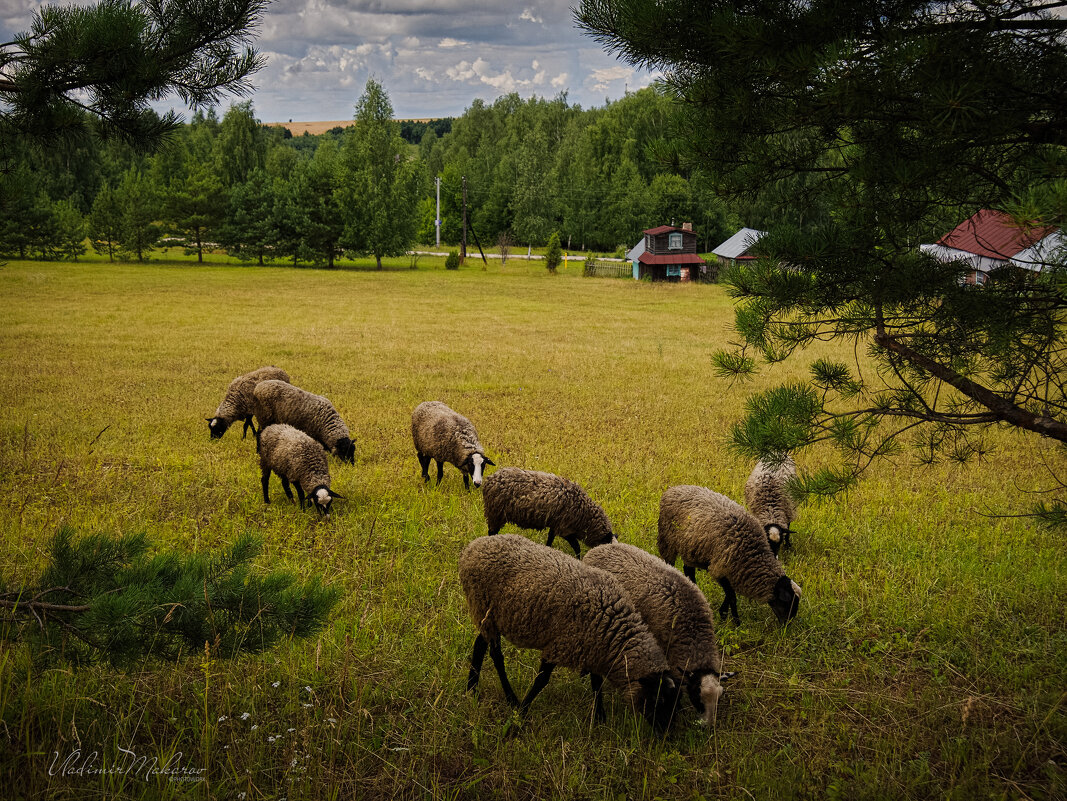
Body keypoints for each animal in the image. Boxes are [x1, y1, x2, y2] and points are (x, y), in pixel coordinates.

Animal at [456, 533, 674, 733]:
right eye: (658, 699)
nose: (666, 734)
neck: (613, 631)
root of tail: (473, 547)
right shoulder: (561, 644)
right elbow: (541, 681)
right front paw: (521, 714)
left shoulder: (593, 647)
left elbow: (596, 683)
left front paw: (599, 716)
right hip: (483, 606)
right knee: (495, 654)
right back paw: (510, 698)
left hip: (488, 616)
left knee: (479, 645)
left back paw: (472, 688)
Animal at [482, 462, 614, 558]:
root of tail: (490, 478)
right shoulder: (564, 528)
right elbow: (576, 546)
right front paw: (578, 558)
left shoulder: (555, 525)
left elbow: (550, 539)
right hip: (495, 513)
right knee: (492, 532)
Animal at [657, 488, 802, 627]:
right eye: (786, 602)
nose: (787, 625)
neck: (752, 554)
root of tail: (674, 489)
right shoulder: (720, 568)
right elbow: (731, 596)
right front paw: (735, 622)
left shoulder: (732, 570)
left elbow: (730, 594)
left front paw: (723, 614)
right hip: (667, 541)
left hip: (691, 550)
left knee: (689, 570)